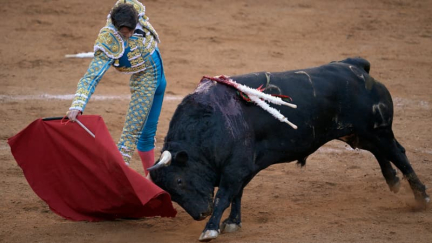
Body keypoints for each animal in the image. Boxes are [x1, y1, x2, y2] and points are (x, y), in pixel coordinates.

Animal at [148, 58, 428, 242]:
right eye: (170, 191)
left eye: (180, 181)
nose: (199, 214)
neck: (208, 124)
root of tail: (356, 66)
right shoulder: (243, 168)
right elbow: (237, 195)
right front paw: (232, 223)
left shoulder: (235, 168)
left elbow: (225, 196)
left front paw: (211, 227)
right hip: (358, 133)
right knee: (380, 152)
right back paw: (393, 182)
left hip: (378, 129)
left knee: (399, 153)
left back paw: (421, 197)